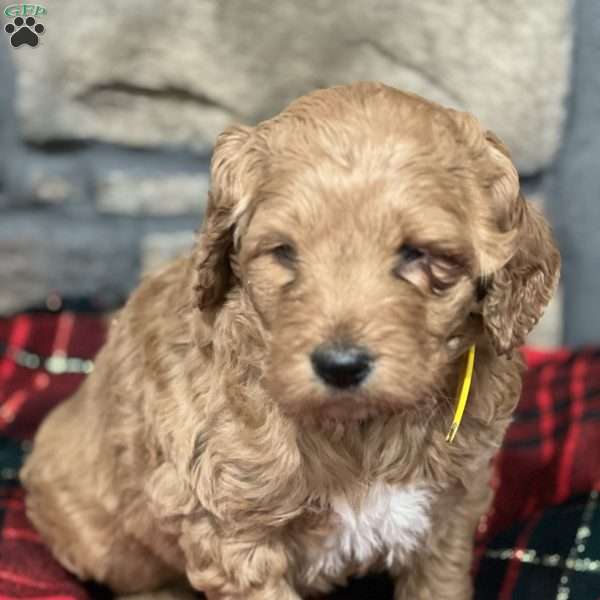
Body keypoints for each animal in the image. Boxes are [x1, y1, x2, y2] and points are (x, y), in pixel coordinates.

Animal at [21, 82, 560, 596]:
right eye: (284, 252)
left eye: (417, 254)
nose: (341, 365)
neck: (363, 432)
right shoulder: (231, 532)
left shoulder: (451, 509)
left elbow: (440, 584)